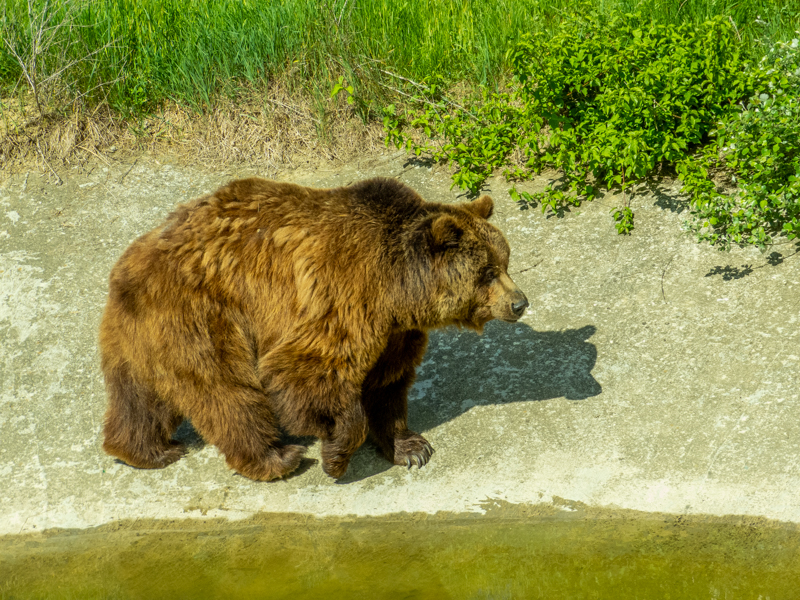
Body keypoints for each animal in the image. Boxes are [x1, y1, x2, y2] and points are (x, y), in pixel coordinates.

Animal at [99, 177, 528, 481]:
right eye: (488, 272)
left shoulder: (395, 332)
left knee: (139, 398)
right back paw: (276, 458)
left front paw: (410, 447)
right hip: (205, 315)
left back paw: (147, 451)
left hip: (142, 334)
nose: (520, 302)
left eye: (505, 262)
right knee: (227, 391)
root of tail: (132, 259)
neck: (399, 289)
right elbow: (305, 371)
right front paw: (336, 455)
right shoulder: (343, 295)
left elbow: (387, 383)